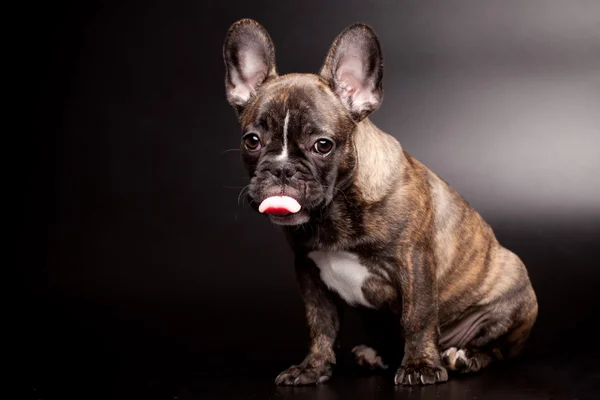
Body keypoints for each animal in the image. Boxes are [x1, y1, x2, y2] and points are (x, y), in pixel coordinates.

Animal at [221, 19, 540, 388]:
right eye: (252, 141)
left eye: (323, 145)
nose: (281, 169)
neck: (336, 211)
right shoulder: (309, 273)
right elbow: (320, 325)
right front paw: (312, 368)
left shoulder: (415, 263)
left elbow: (417, 317)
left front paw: (420, 366)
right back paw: (376, 355)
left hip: (511, 293)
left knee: (495, 349)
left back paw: (464, 357)